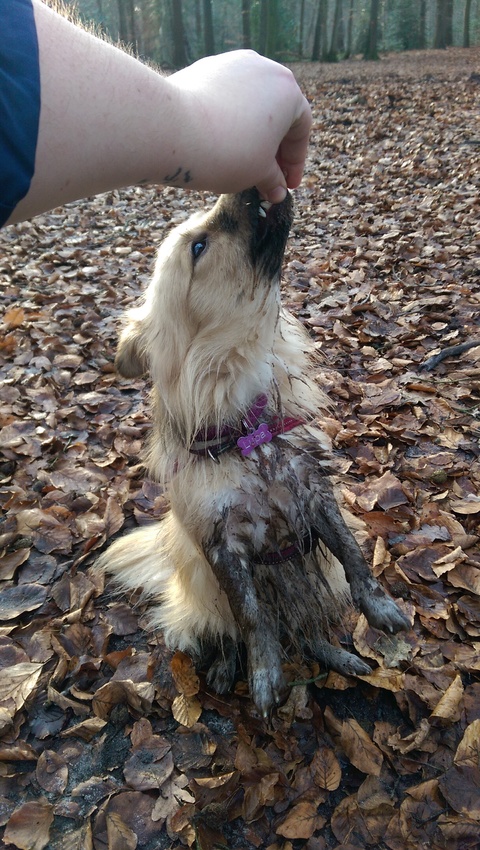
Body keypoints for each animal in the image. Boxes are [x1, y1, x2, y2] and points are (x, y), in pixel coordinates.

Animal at [97, 188, 409, 717]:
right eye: (198, 247)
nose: (245, 189)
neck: (248, 435)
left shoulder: (315, 494)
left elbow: (354, 558)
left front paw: (380, 606)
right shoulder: (222, 546)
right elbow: (251, 617)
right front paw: (263, 676)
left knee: (307, 631)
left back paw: (339, 656)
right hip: (204, 592)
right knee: (231, 634)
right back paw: (226, 669)